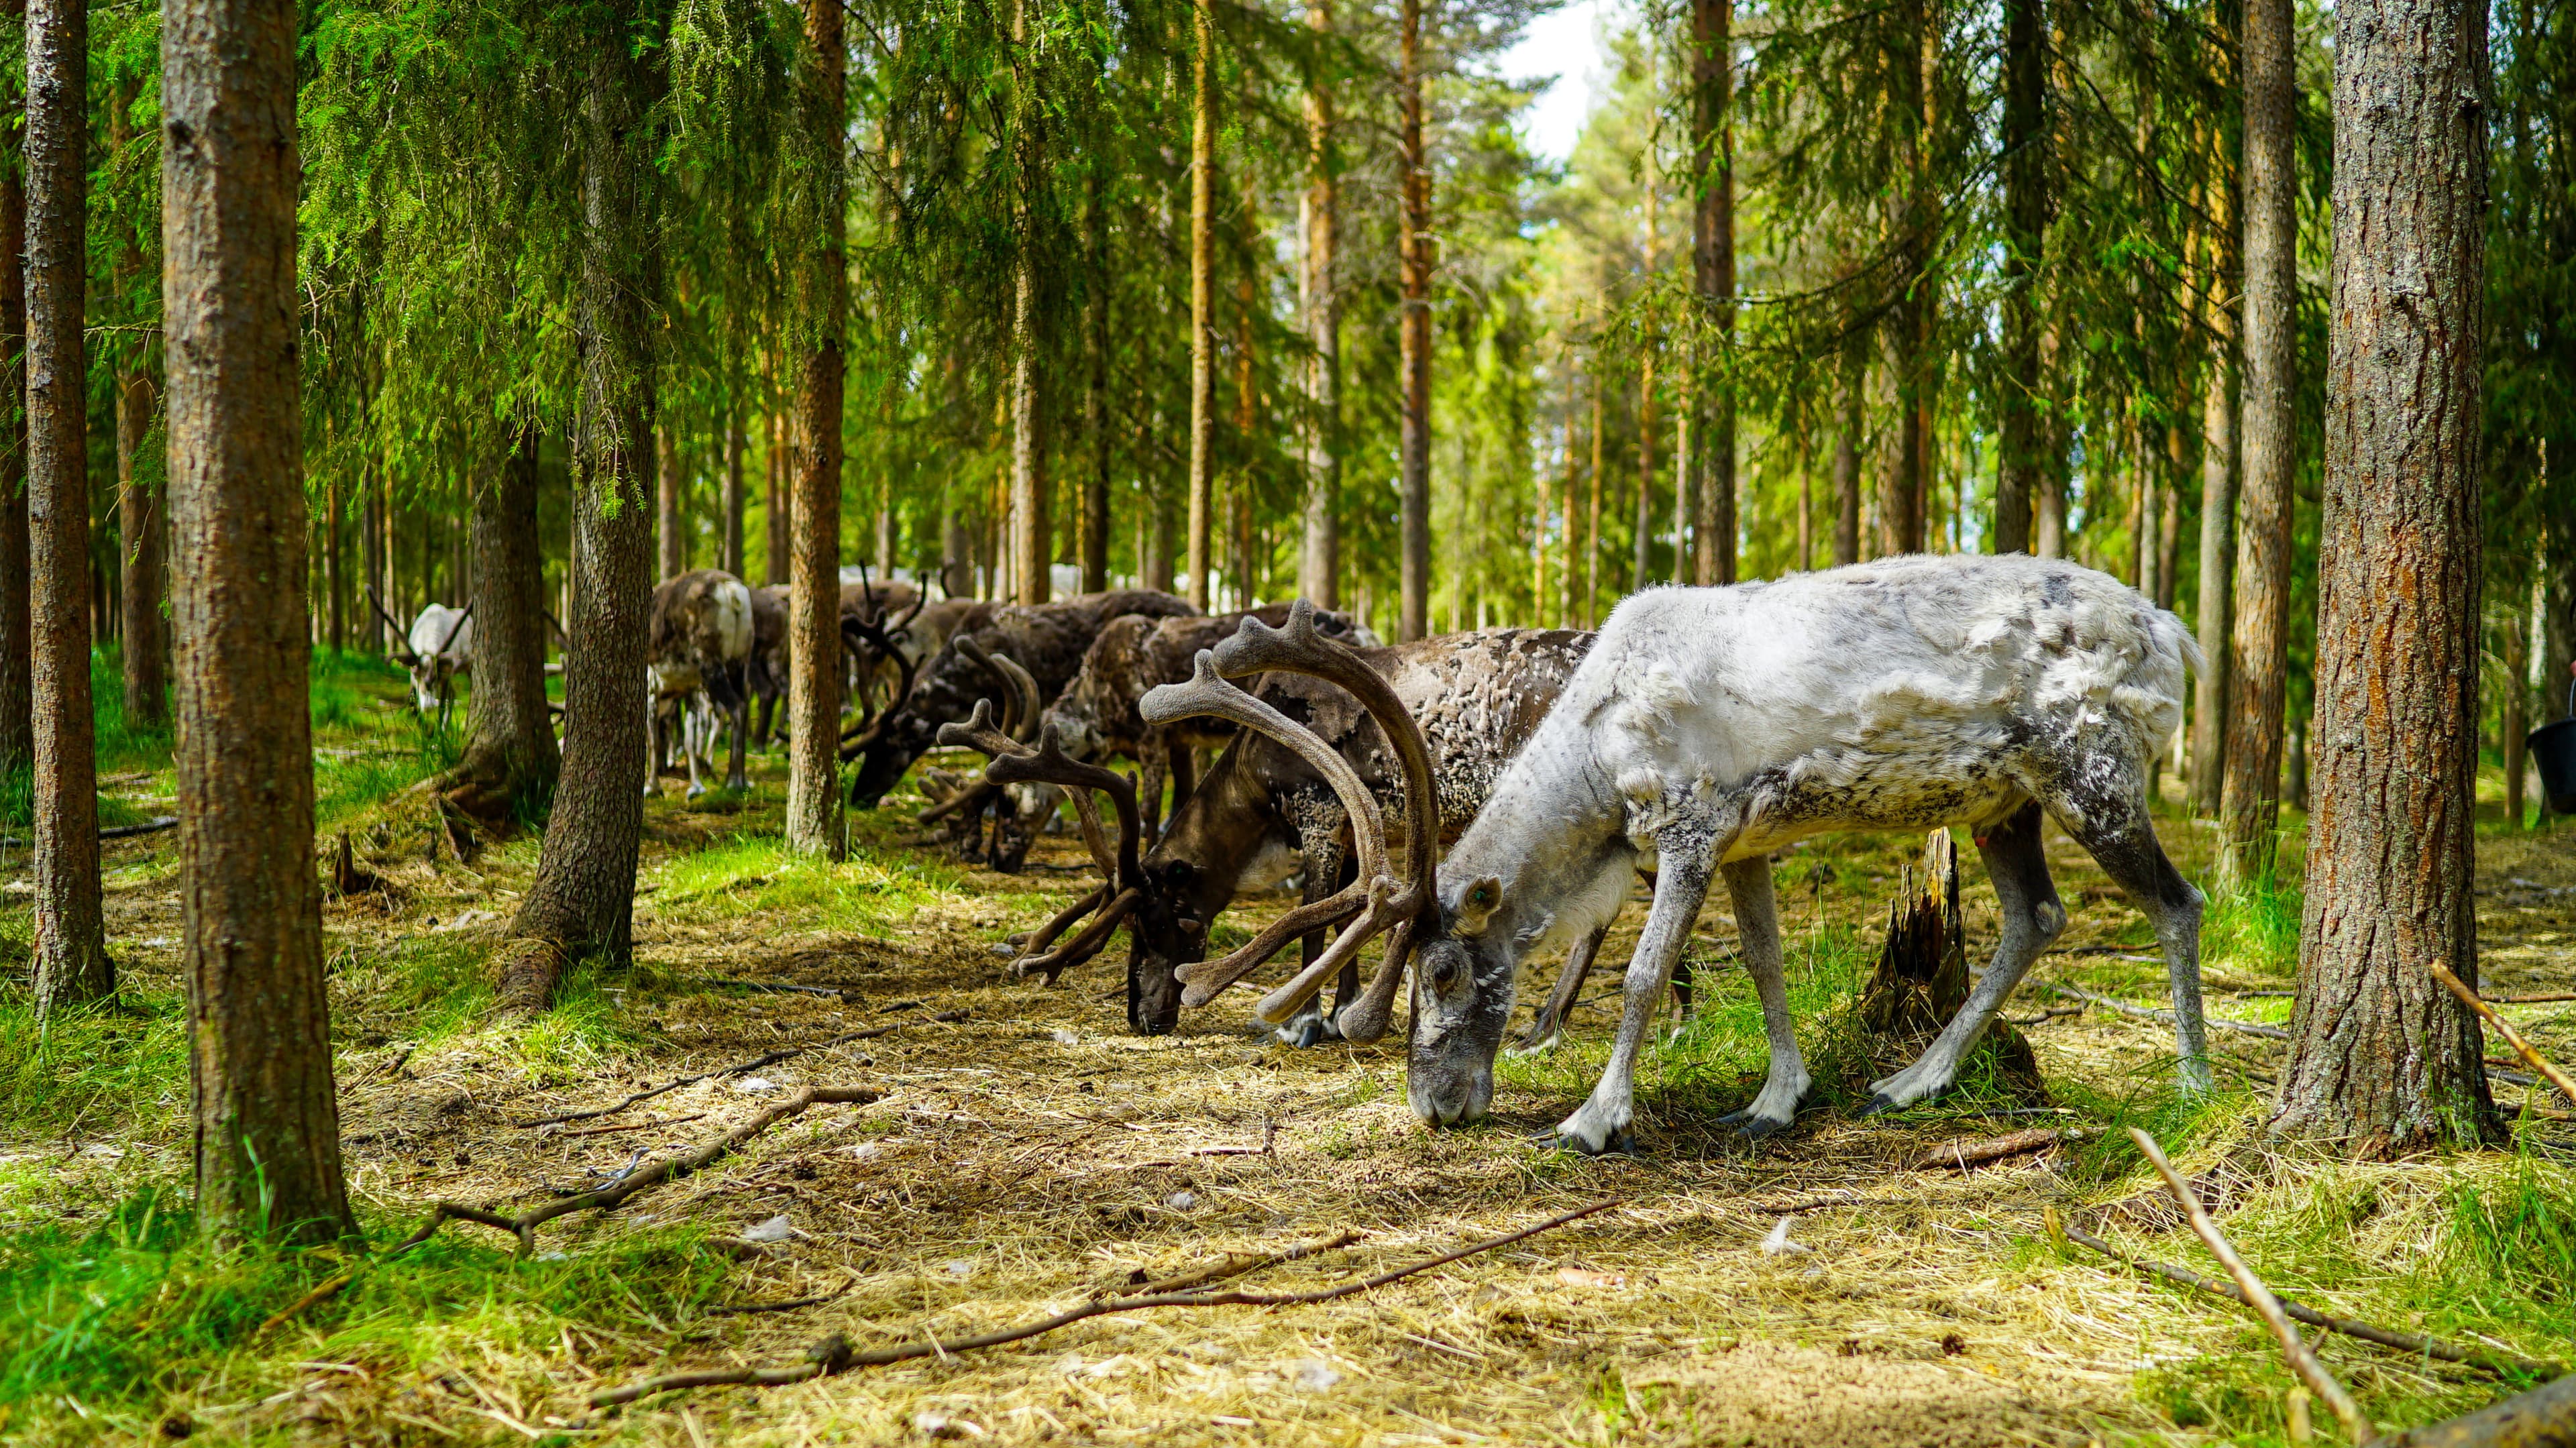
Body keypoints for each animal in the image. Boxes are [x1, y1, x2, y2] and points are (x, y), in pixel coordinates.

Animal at [646, 569, 756, 798]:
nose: (663, 769)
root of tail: (733, 592)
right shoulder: (688, 690)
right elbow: (688, 740)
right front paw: (695, 787)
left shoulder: (652, 688)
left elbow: (653, 740)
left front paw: (652, 787)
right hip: (740, 661)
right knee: (744, 705)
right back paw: (744, 781)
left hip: (710, 663)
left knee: (736, 707)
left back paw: (733, 781)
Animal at [1138, 558, 2209, 1153]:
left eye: (1442, 970)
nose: (1435, 1108)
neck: (1599, 761)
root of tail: (2175, 631)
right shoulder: (1749, 841)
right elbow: (1767, 961)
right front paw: (1776, 1100)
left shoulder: (1692, 829)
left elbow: (1645, 975)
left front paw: (1593, 1118)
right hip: (2006, 800)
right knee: (2037, 917)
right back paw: (1911, 1081)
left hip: (2092, 773)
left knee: (2177, 902)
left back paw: (2192, 1081)